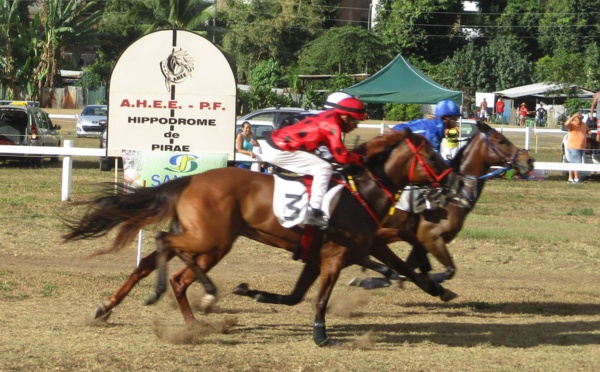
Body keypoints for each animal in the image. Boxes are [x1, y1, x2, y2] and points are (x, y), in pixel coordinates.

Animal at [63, 129, 454, 348]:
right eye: (432, 155)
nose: (450, 184)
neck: (360, 193)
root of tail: (189, 180)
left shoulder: (339, 252)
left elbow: (399, 268)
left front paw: (439, 288)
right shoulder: (336, 256)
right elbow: (320, 299)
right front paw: (321, 335)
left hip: (206, 240)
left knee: (160, 268)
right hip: (212, 239)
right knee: (164, 250)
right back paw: (194, 296)